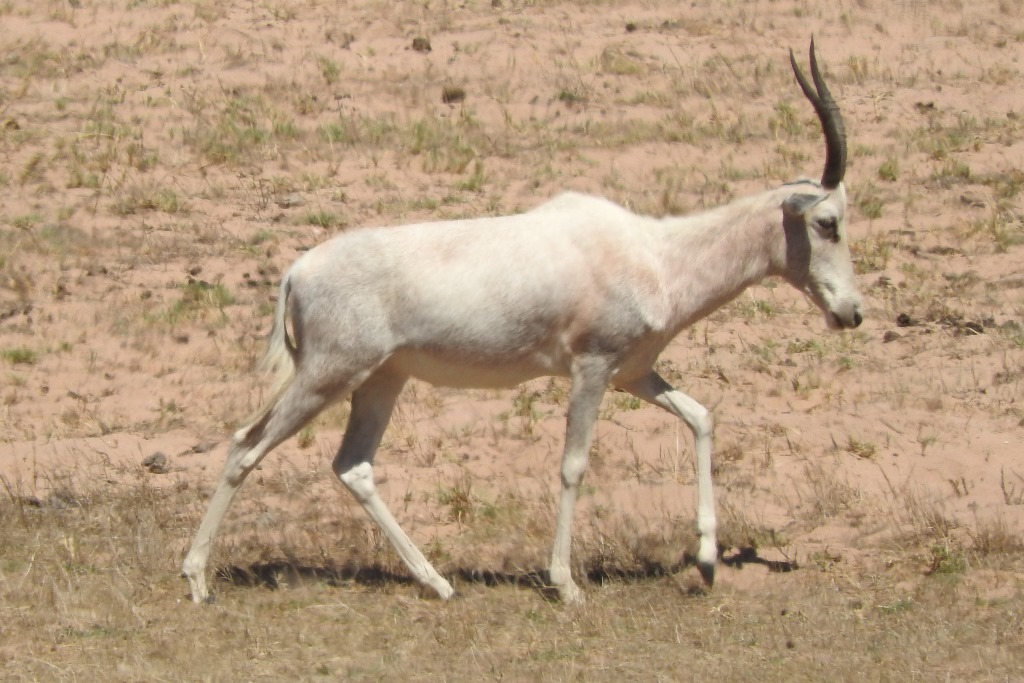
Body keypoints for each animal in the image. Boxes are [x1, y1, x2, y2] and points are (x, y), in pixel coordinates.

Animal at [182, 40, 864, 606]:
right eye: (827, 221)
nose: (851, 312)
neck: (654, 253)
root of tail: (297, 271)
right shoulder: (592, 369)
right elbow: (573, 464)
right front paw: (566, 585)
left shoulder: (633, 374)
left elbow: (701, 417)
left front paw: (706, 561)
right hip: (328, 376)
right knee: (245, 445)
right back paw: (197, 581)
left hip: (380, 381)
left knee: (352, 466)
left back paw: (439, 583)